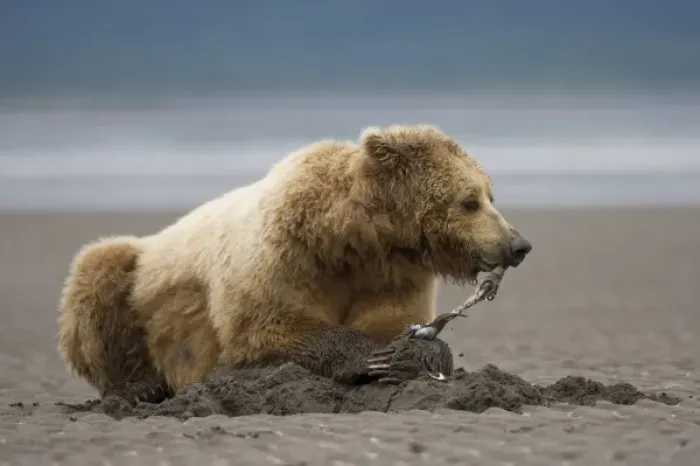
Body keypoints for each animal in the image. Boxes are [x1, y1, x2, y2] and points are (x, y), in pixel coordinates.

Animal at [57, 124, 532, 403]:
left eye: (490, 194)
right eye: (469, 201)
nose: (519, 245)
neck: (351, 240)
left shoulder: (390, 275)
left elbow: (397, 321)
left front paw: (408, 353)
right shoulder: (282, 257)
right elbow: (265, 330)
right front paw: (370, 357)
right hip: (140, 274)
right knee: (98, 273)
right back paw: (139, 388)